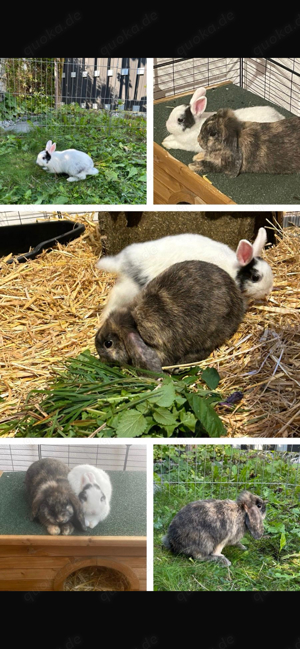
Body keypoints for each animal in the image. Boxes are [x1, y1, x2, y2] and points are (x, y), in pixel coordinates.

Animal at [97, 228, 274, 318]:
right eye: (256, 277)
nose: (267, 292)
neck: (234, 270)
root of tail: (122, 261)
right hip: (131, 288)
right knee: (115, 295)